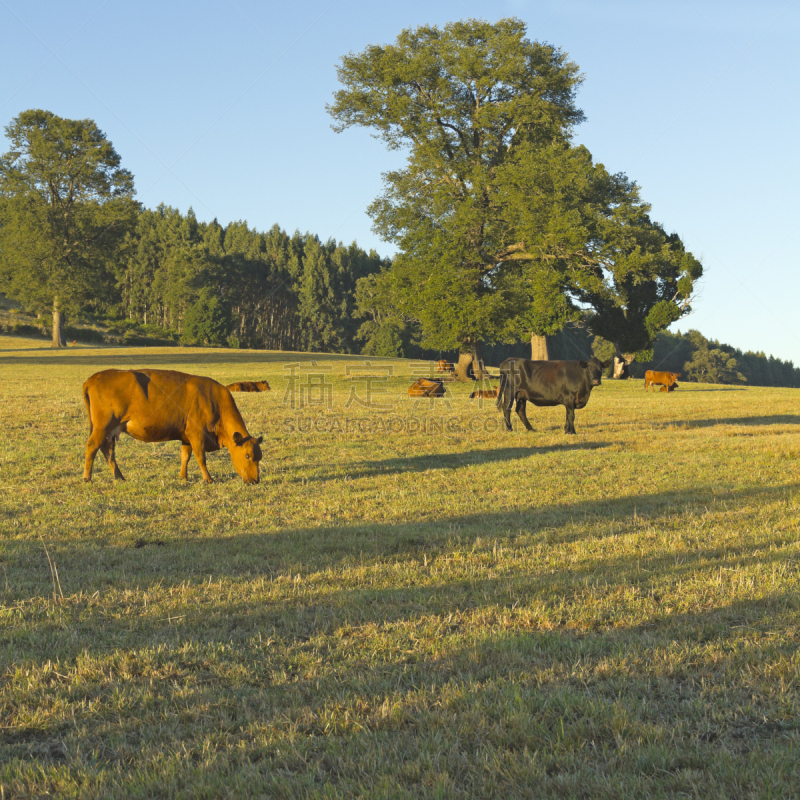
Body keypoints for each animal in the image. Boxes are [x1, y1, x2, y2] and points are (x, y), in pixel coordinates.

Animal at [82, 368, 262, 482]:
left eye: (259, 457)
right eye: (247, 456)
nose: (255, 480)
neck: (214, 401)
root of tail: (93, 378)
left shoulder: (186, 436)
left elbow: (185, 456)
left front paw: (183, 477)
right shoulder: (196, 434)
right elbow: (200, 457)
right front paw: (208, 479)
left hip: (110, 431)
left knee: (108, 451)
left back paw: (119, 477)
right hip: (102, 427)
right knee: (92, 446)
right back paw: (87, 478)